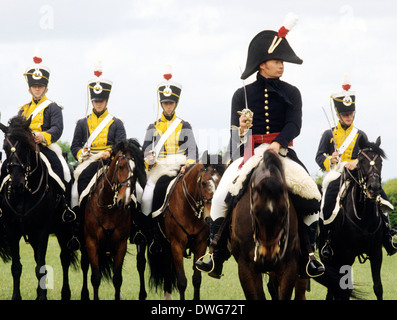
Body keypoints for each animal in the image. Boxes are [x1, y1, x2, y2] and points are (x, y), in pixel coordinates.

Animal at [0, 115, 77, 300]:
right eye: (5, 148)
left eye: (26, 146)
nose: (17, 184)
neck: (24, 195)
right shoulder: (12, 230)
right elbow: (16, 267)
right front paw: (16, 296)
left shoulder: (42, 230)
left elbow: (40, 268)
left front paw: (42, 297)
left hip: (63, 230)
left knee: (64, 259)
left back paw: (65, 293)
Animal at [80, 138, 147, 300]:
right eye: (121, 166)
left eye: (135, 170)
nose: (124, 201)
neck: (108, 209)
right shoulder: (91, 243)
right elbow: (95, 277)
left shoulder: (121, 244)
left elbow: (117, 279)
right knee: (84, 265)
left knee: (141, 264)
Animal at [147, 152, 224, 300]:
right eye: (204, 183)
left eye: (222, 182)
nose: (212, 217)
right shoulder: (177, 246)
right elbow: (182, 282)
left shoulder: (200, 245)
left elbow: (197, 279)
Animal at [318, 137, 386, 300]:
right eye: (360, 161)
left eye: (380, 161)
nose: (374, 188)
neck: (364, 217)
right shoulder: (347, 255)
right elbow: (345, 290)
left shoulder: (376, 253)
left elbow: (378, 287)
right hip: (329, 257)